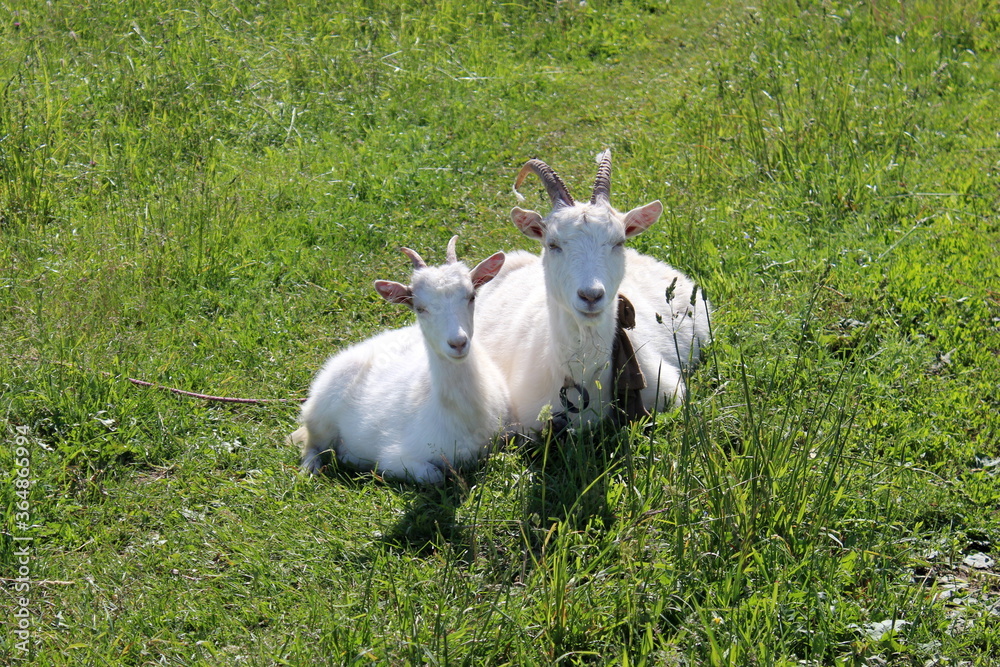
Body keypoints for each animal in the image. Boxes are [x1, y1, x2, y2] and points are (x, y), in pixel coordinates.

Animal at [291, 237, 510, 484]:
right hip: (320, 414)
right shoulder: (397, 457)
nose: (458, 343)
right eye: (420, 308)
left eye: (472, 296)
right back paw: (312, 468)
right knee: (312, 445)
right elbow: (434, 475)